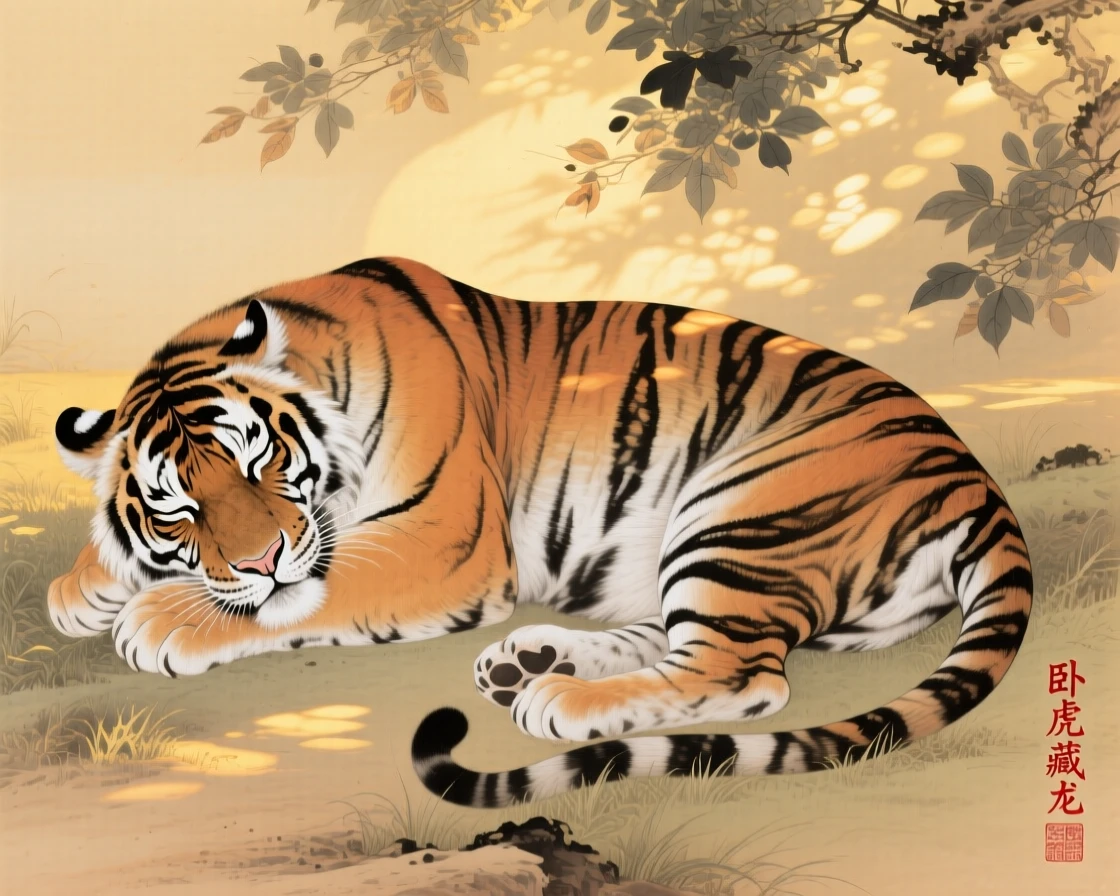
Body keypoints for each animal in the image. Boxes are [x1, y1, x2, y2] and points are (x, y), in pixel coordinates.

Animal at [49, 257, 1032, 807]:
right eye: (178, 504)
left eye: (259, 463)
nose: (256, 554)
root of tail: (972, 475)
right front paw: (82, 587)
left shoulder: (444, 541)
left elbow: (308, 587)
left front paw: (161, 618)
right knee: (688, 647)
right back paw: (530, 662)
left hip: (741, 506)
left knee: (744, 676)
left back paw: (554, 699)